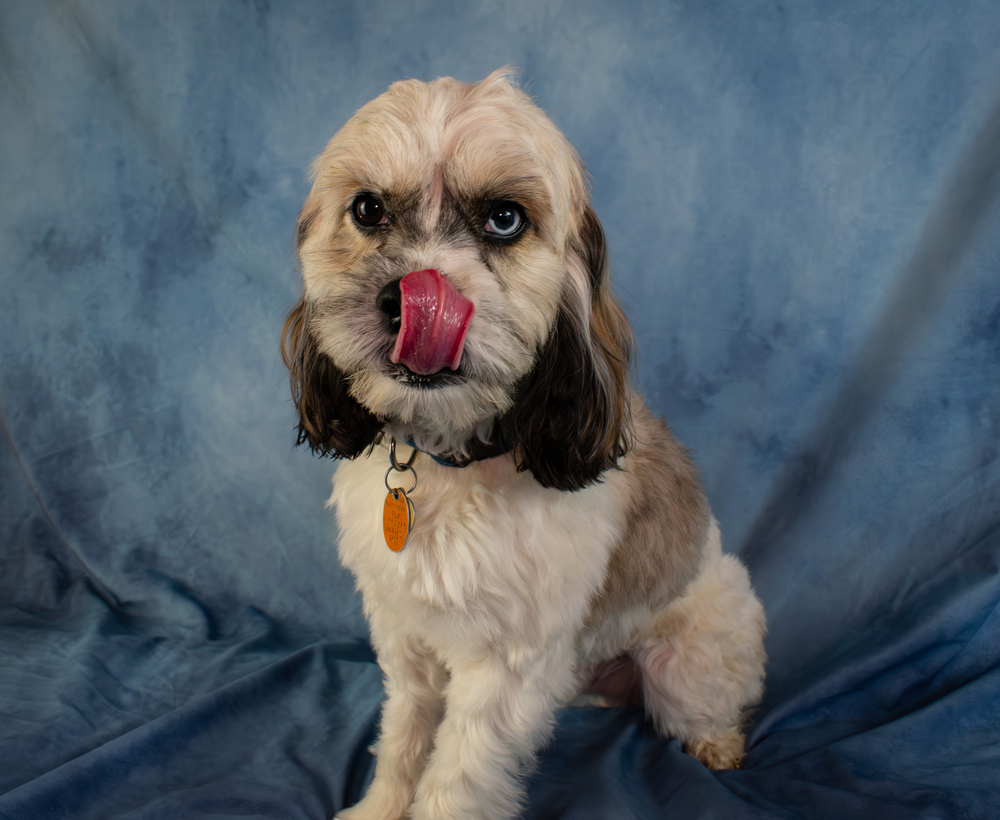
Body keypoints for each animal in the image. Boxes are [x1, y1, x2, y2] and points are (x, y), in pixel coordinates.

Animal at [282, 69, 764, 820]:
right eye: (367, 210)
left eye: (504, 219)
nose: (407, 296)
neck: (448, 459)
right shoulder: (405, 636)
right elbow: (405, 738)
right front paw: (381, 806)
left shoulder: (504, 671)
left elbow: (454, 781)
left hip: (687, 659)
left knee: (705, 703)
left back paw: (718, 743)